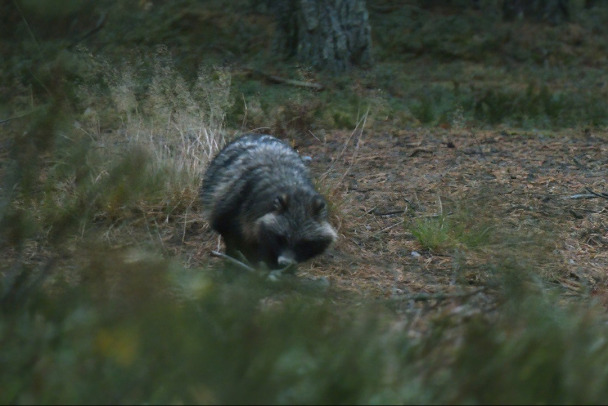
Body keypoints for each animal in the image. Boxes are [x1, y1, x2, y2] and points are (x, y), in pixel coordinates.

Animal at [203, 134, 338, 270]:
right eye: (281, 238)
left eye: (303, 243)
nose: (285, 263)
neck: (294, 187)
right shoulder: (236, 207)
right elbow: (235, 240)